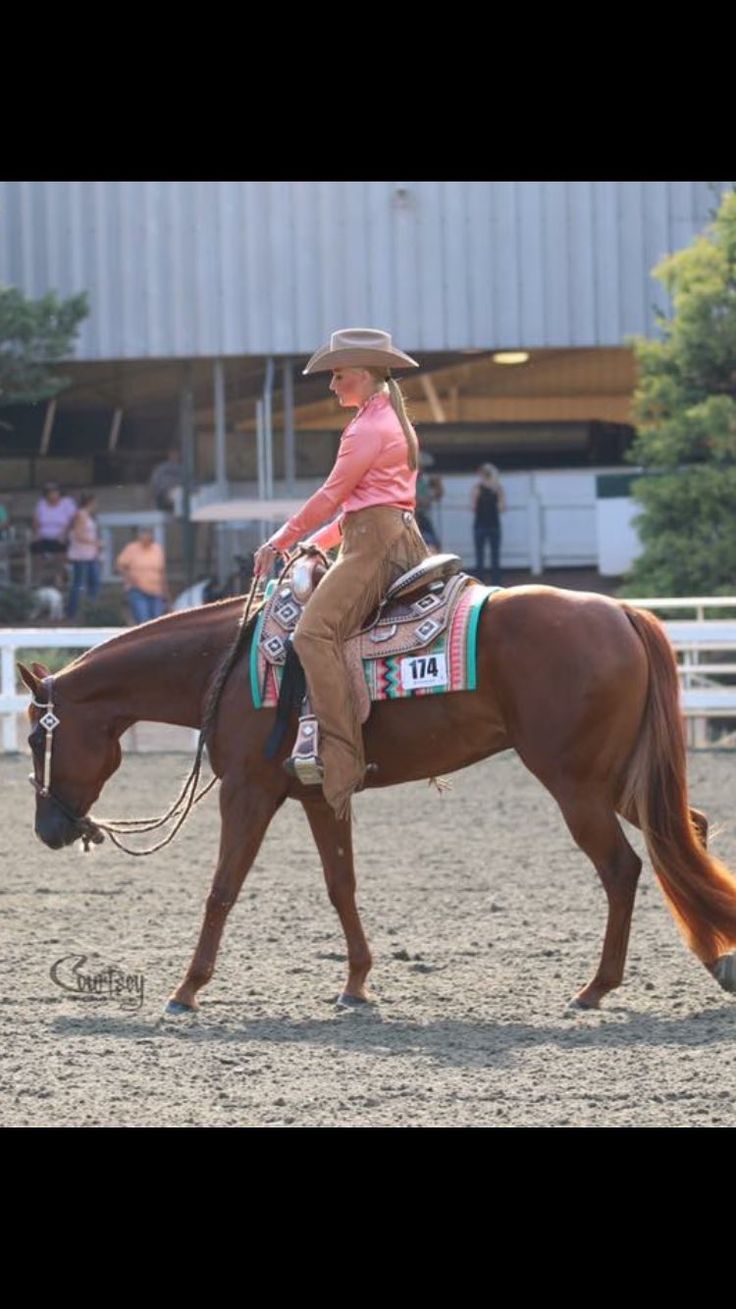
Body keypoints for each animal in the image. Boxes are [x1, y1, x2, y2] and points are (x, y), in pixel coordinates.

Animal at [15, 586, 733, 1010]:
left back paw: (596, 987)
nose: (48, 829)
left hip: (576, 783)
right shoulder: (318, 795)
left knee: (624, 867)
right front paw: (357, 982)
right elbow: (342, 885)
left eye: (34, 735)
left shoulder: (248, 792)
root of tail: (621, 612)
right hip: (620, 778)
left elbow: (222, 888)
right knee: (685, 834)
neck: (225, 661)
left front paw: (187, 989)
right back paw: (715, 958)